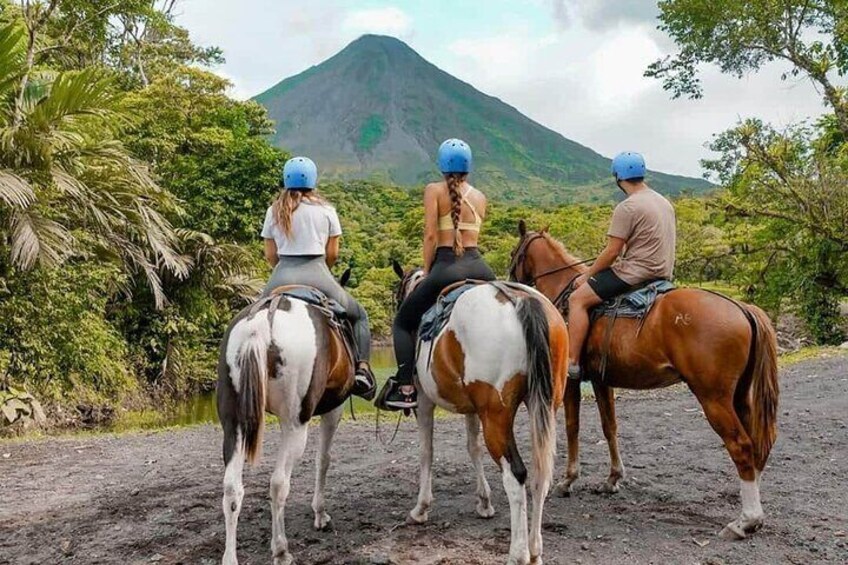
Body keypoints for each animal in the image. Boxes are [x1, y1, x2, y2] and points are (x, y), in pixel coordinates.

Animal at [217, 286, 356, 564]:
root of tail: (260, 324)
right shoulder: (334, 410)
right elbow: (323, 459)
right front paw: (320, 514)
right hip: (294, 426)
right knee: (279, 484)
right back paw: (281, 549)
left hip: (233, 424)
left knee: (232, 489)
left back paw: (230, 557)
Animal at [392, 262, 568, 564]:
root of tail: (521, 300)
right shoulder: (473, 410)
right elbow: (472, 447)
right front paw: (484, 501)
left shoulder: (424, 401)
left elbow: (426, 450)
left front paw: (421, 508)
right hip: (541, 407)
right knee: (539, 475)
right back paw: (535, 550)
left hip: (496, 416)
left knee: (515, 476)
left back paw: (518, 553)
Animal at [506, 223, 780, 540]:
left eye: (514, 253)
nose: (511, 282)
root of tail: (741, 307)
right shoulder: (601, 381)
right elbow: (610, 427)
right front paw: (613, 478)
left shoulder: (571, 382)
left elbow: (572, 427)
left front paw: (568, 480)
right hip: (739, 397)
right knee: (754, 445)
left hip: (714, 399)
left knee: (741, 446)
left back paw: (746, 520)